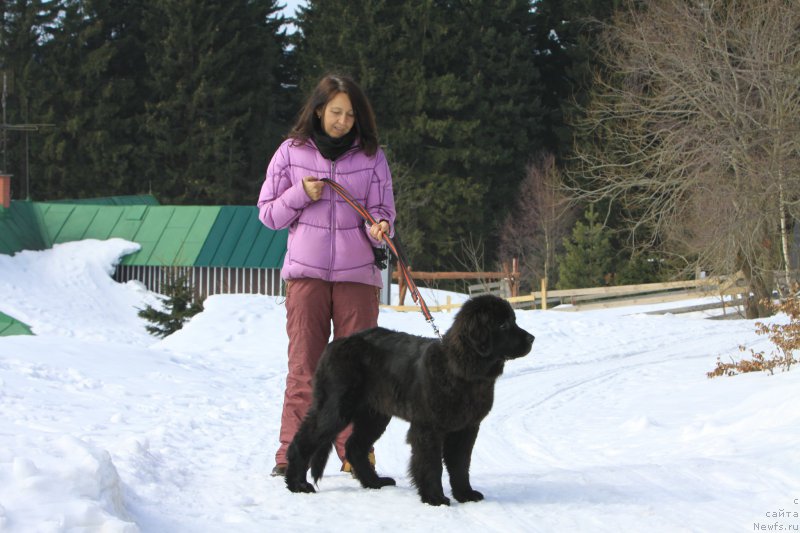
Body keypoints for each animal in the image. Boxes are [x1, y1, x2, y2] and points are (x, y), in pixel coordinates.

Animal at [284, 294, 536, 504]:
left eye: (513, 320)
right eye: (503, 324)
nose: (532, 338)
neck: (461, 370)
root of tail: (334, 345)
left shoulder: (466, 428)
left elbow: (461, 464)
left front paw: (465, 494)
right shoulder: (428, 428)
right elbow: (431, 464)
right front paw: (435, 498)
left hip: (374, 414)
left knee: (354, 446)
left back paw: (374, 482)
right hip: (336, 408)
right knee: (304, 439)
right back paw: (297, 484)